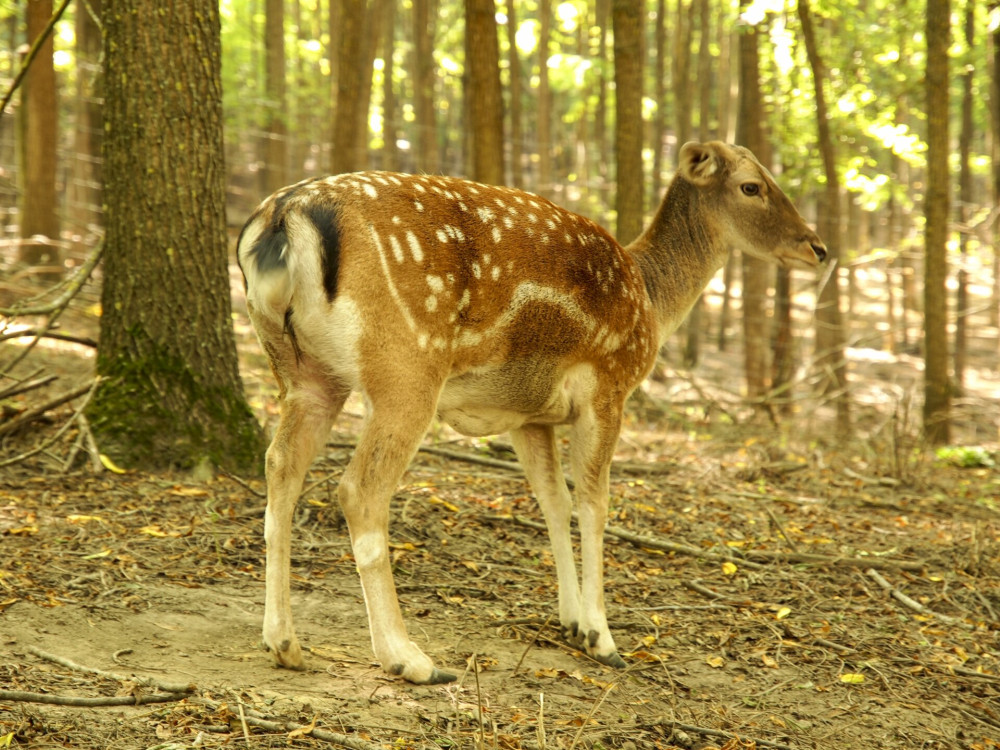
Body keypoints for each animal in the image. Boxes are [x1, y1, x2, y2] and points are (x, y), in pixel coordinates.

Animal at [238, 141, 824, 688]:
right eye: (752, 186)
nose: (817, 247)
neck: (652, 304)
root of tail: (284, 215)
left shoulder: (529, 415)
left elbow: (553, 500)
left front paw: (571, 620)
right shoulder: (607, 386)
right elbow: (594, 503)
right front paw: (602, 636)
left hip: (305, 372)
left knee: (280, 466)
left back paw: (284, 642)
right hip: (407, 366)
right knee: (359, 489)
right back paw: (410, 659)